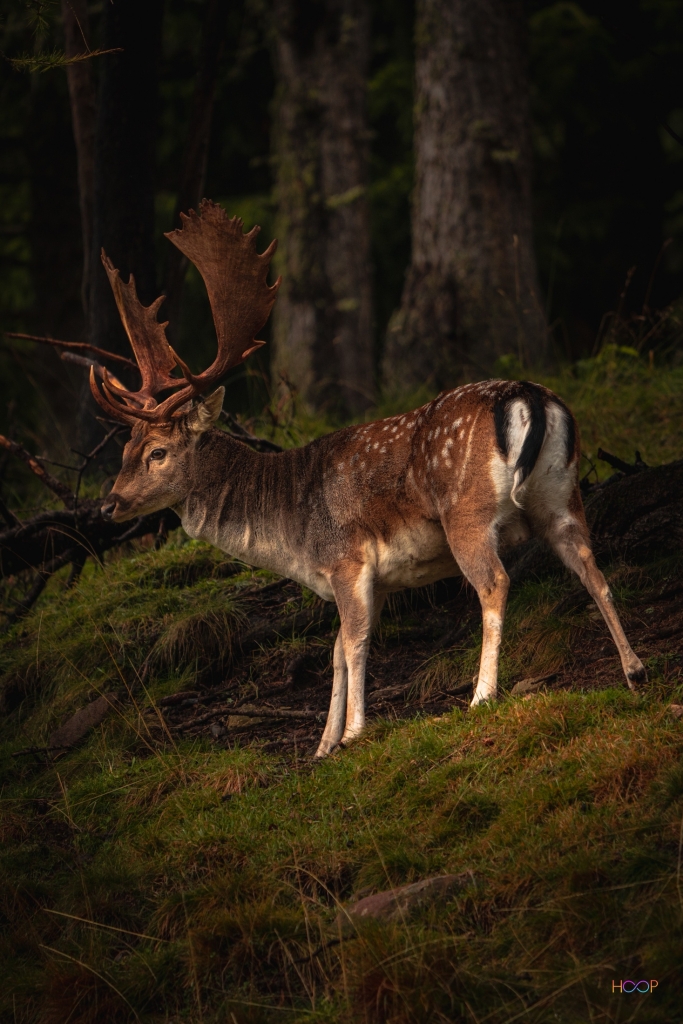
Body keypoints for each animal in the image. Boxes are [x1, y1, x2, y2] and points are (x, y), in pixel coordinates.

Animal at [95, 199, 646, 758]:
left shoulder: (347, 558)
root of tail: (528, 396)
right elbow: (338, 648)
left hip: (467, 513)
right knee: (592, 568)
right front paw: (322, 747)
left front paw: (354, 733)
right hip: (561, 495)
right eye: (124, 448)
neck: (293, 538)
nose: (109, 504)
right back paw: (634, 669)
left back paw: (480, 697)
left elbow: (355, 641)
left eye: (158, 452)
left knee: (495, 582)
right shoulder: (378, 578)